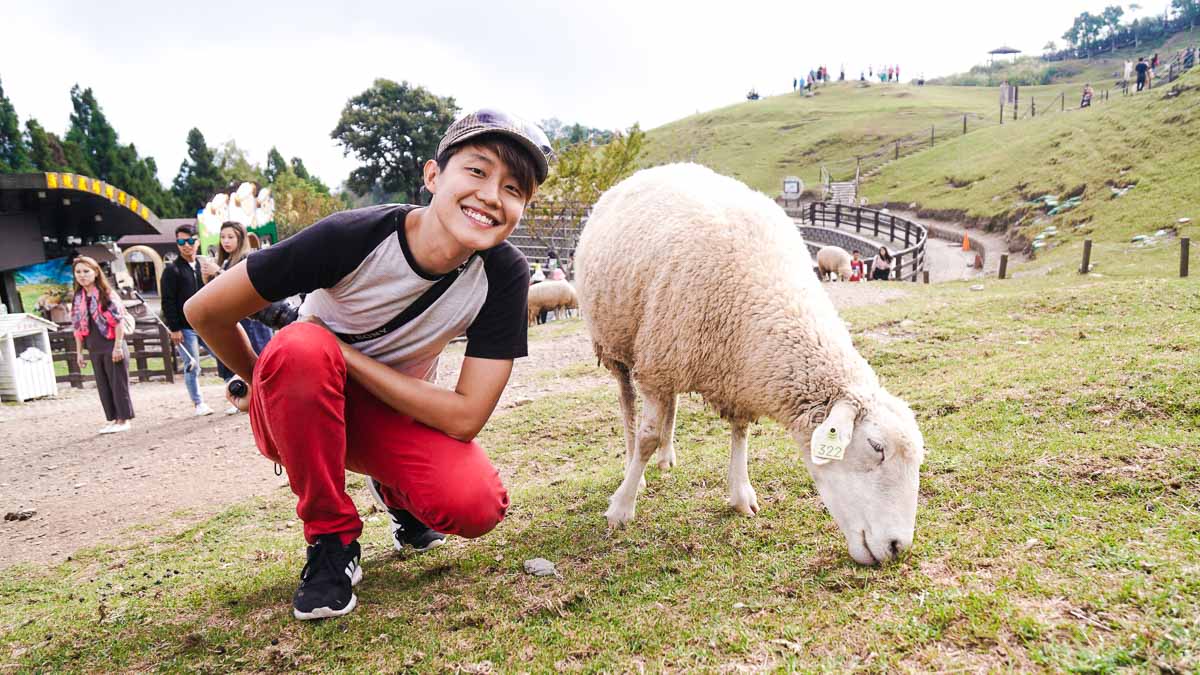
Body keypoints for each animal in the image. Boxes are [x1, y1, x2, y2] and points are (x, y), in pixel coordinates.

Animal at [573, 165, 926, 564]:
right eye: (876, 447)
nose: (898, 547)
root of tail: (651, 170)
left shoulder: (732, 371)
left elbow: (740, 433)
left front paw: (742, 494)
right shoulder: (661, 366)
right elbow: (646, 436)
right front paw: (621, 507)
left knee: (671, 406)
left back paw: (667, 455)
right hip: (618, 343)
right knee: (628, 405)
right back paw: (638, 464)